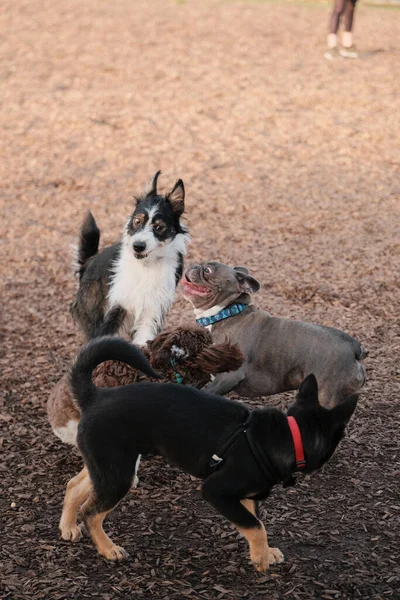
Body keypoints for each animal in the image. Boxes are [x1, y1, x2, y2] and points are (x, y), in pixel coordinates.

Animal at [71, 171, 190, 344]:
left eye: (159, 227)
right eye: (137, 221)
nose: (138, 246)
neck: (146, 265)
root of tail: (88, 263)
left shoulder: (152, 310)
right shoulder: (119, 305)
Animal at [183, 262, 368, 408]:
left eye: (208, 270)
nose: (194, 265)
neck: (226, 313)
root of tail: (355, 349)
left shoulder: (228, 377)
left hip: (328, 396)